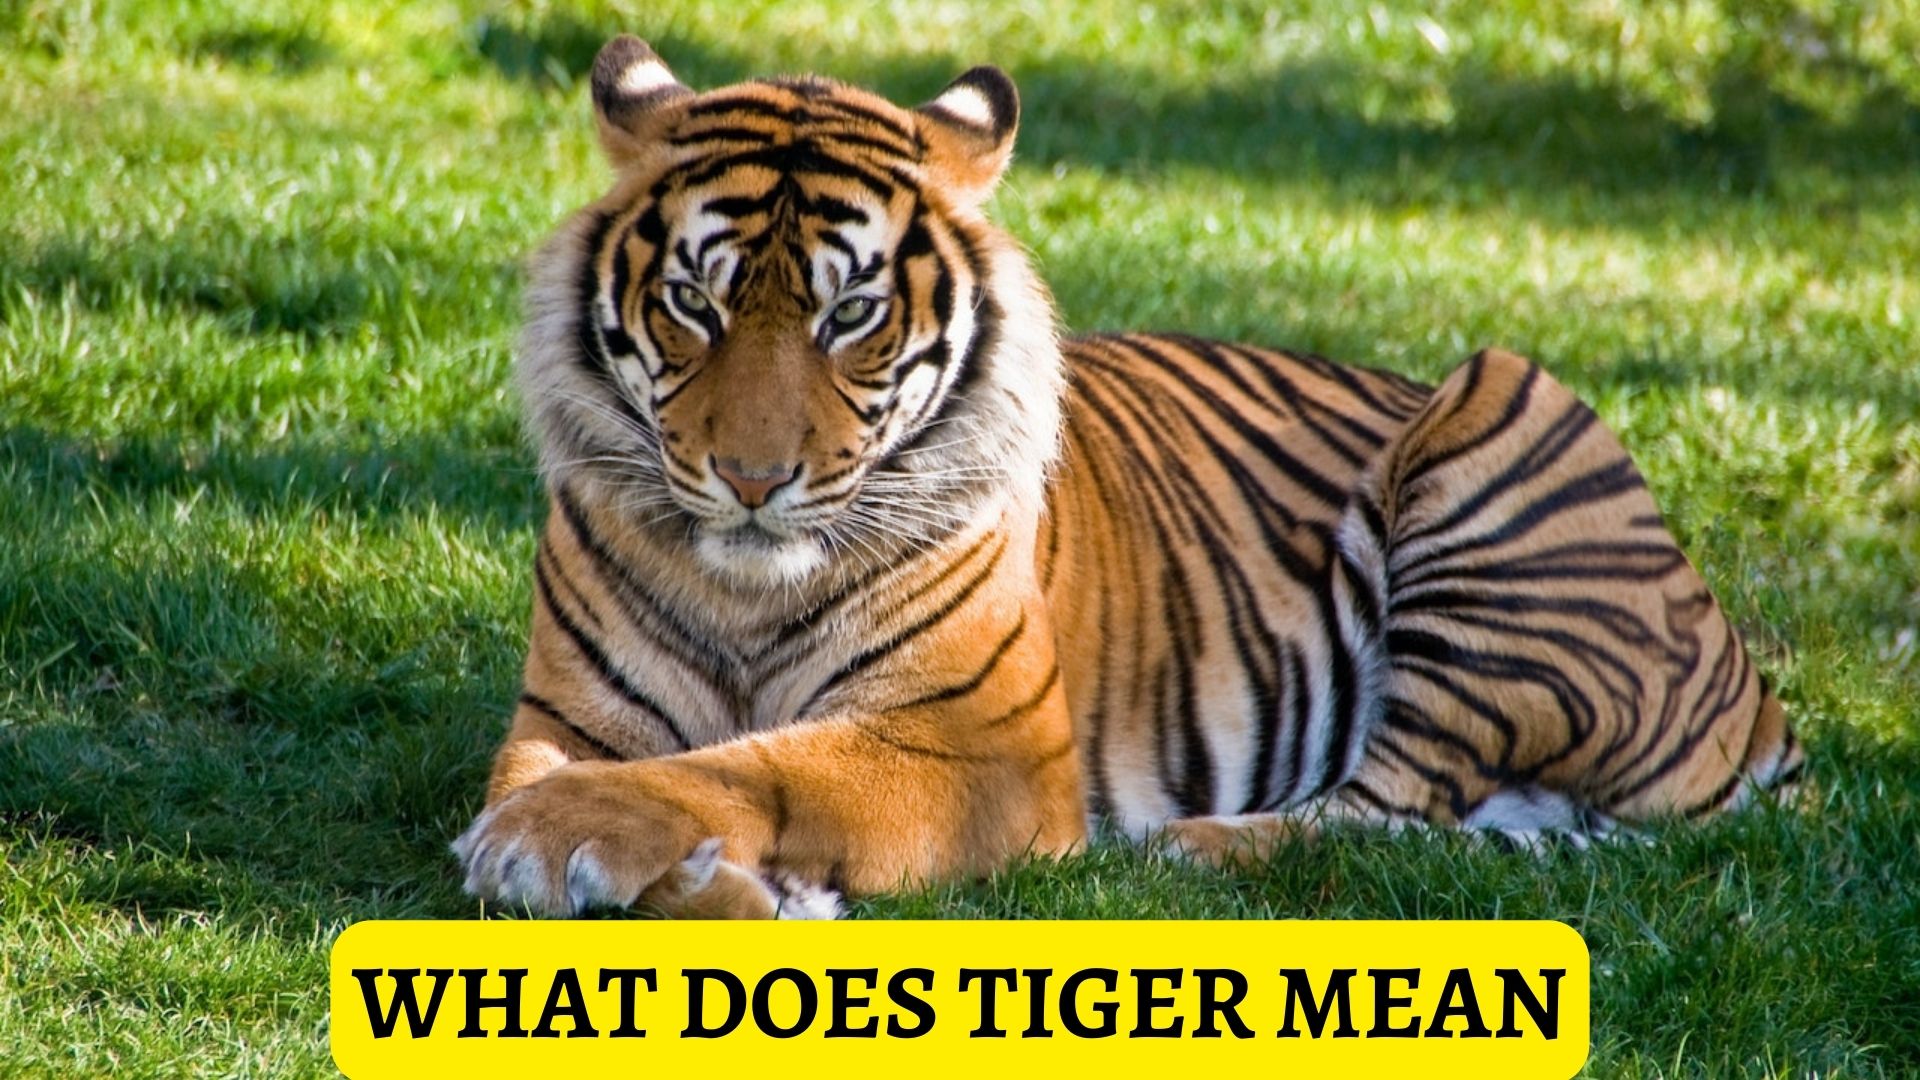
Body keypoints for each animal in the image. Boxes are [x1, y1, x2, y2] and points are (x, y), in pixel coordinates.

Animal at [451, 35, 1803, 919]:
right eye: (695, 302)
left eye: (852, 315)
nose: (751, 479)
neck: (748, 587)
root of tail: (1759, 698)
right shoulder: (567, 716)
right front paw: (705, 888)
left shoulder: (980, 747)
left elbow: (754, 764)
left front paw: (557, 843)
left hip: (1502, 408)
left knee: (1385, 814)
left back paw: (1189, 849)